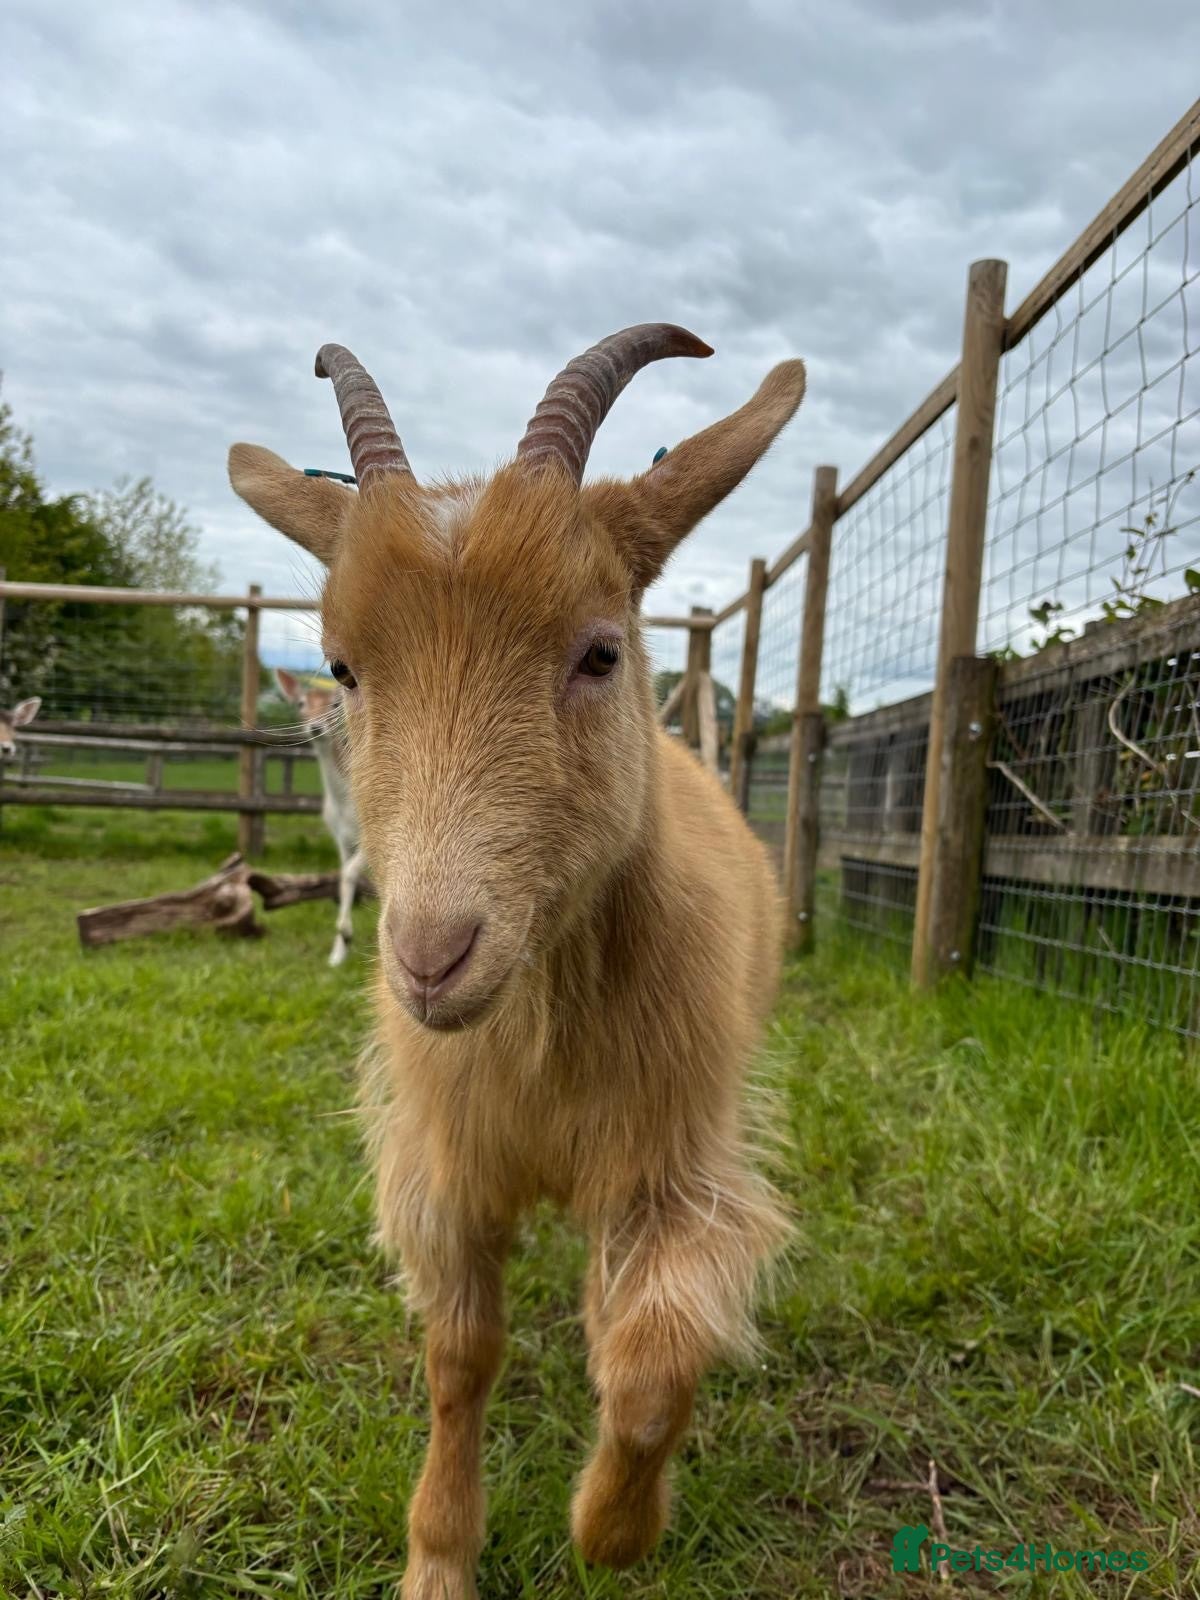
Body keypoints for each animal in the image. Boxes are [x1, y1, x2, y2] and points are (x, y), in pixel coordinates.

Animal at [273, 667, 366, 967]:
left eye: (334, 704)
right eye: (301, 703)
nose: (316, 727)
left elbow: (350, 873)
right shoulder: (341, 837)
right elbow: (343, 878)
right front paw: (338, 954)